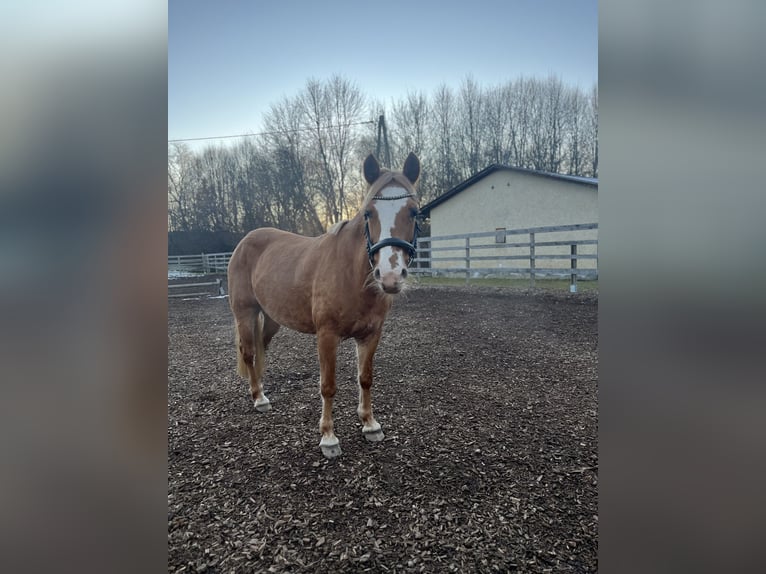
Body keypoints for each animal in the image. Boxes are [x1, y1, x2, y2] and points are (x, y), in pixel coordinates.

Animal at [228, 152, 424, 460]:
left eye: (414, 212)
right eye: (368, 213)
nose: (390, 276)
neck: (351, 274)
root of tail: (244, 242)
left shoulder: (371, 334)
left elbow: (365, 378)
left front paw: (370, 425)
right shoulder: (327, 336)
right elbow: (328, 386)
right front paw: (329, 439)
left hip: (271, 319)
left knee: (260, 349)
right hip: (245, 313)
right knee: (248, 352)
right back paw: (259, 399)